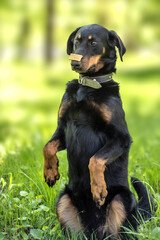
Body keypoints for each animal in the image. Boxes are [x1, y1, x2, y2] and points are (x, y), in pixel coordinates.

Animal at [43, 24, 153, 240]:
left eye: (93, 42)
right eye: (76, 41)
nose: (75, 63)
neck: (89, 85)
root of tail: (94, 231)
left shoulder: (121, 138)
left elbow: (95, 159)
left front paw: (99, 190)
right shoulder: (63, 129)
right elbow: (48, 146)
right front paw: (51, 172)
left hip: (122, 200)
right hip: (63, 201)